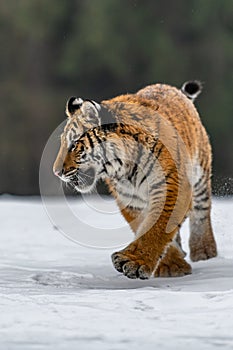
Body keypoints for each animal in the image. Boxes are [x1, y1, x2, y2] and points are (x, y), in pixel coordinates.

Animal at [53, 80, 218, 280]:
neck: (126, 170)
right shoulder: (131, 201)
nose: (56, 172)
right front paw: (170, 263)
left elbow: (157, 227)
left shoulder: (171, 186)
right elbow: (147, 227)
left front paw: (135, 262)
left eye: (74, 144)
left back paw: (205, 253)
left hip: (201, 173)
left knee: (201, 213)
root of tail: (170, 88)